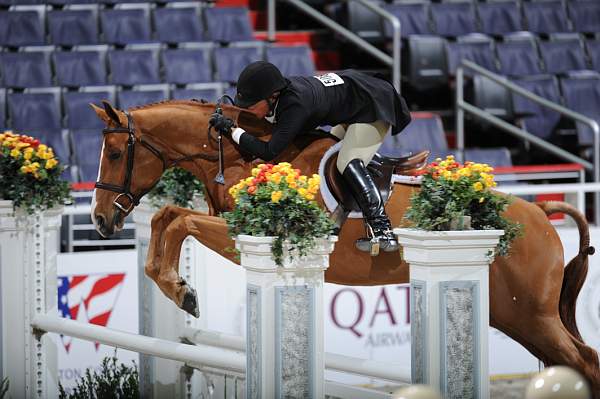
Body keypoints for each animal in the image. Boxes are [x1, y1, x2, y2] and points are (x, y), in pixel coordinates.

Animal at [89, 101, 600, 396]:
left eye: (114, 154)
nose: (99, 219)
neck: (239, 155)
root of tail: (541, 213)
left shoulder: (247, 236)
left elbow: (180, 220)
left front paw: (182, 291)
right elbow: (166, 215)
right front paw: (178, 286)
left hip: (529, 314)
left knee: (584, 363)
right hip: (513, 316)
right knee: (574, 362)